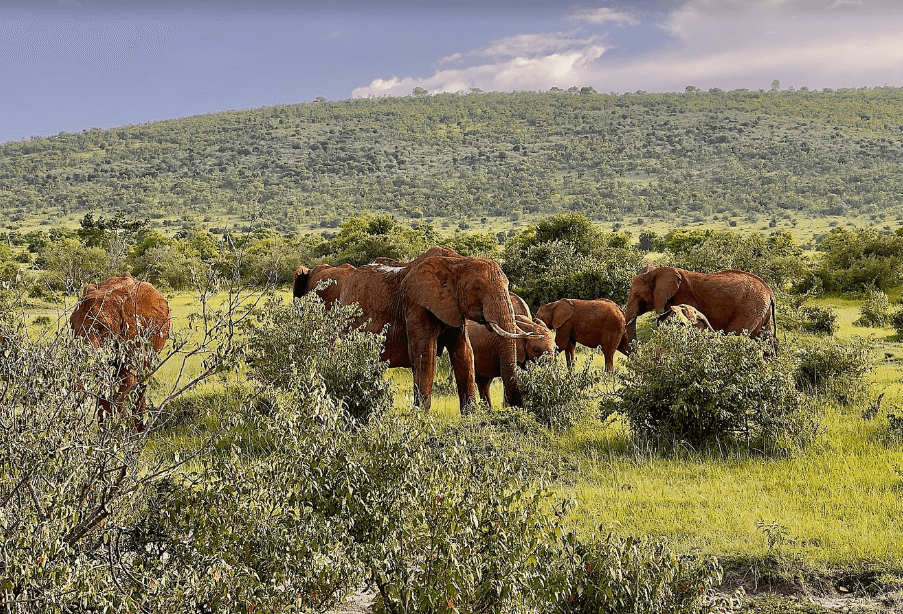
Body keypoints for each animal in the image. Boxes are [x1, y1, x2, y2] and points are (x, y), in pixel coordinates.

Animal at [70, 273, 170, 429]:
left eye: (101, 327)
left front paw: (119, 431)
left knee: (143, 380)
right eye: (71, 326)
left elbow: (128, 378)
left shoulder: (133, 330)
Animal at [337, 247, 535, 413]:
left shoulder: (453, 308)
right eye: (478, 288)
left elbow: (464, 353)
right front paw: (421, 415)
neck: (458, 262)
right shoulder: (416, 305)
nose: (513, 405)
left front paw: (470, 415)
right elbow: (425, 354)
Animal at [623, 266, 776, 350]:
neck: (657, 271)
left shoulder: (683, 297)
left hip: (750, 306)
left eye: (637, 295)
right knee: (766, 338)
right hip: (761, 308)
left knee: (736, 333)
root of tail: (769, 292)